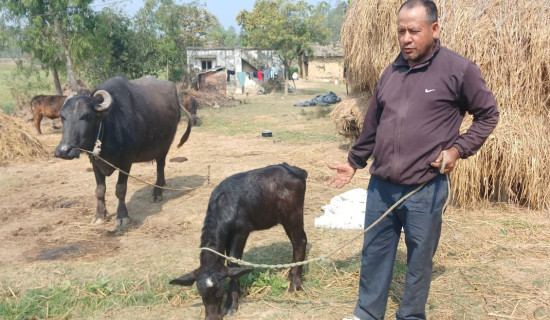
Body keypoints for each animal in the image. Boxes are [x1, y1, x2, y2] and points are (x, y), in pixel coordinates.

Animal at [54, 75, 192, 226]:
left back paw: (157, 192)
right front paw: (99, 215)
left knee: (160, 167)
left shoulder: (126, 161)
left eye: (86, 116)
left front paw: (122, 216)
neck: (109, 126)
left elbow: (120, 189)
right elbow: (100, 190)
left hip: (164, 145)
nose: (63, 150)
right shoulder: (95, 161)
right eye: (62, 116)